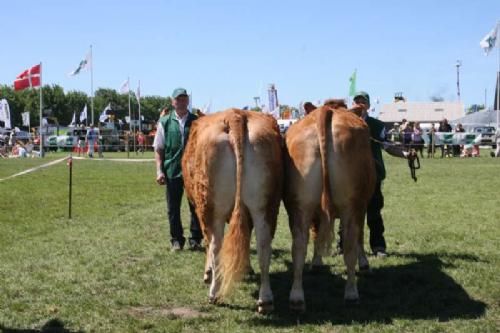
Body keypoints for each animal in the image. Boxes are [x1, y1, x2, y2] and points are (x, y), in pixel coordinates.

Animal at [182, 109, 284, 314]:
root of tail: (235, 115)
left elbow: (208, 245)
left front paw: (208, 273)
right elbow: (246, 238)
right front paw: (246, 269)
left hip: (210, 208)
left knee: (215, 245)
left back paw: (214, 293)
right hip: (266, 206)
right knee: (264, 246)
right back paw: (265, 300)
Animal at [284, 100, 376, 312]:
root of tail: (326, 111)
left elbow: (316, 233)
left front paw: (316, 263)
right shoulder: (362, 207)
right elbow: (359, 237)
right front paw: (364, 264)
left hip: (299, 205)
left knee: (299, 246)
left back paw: (296, 298)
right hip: (351, 205)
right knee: (350, 244)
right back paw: (351, 293)